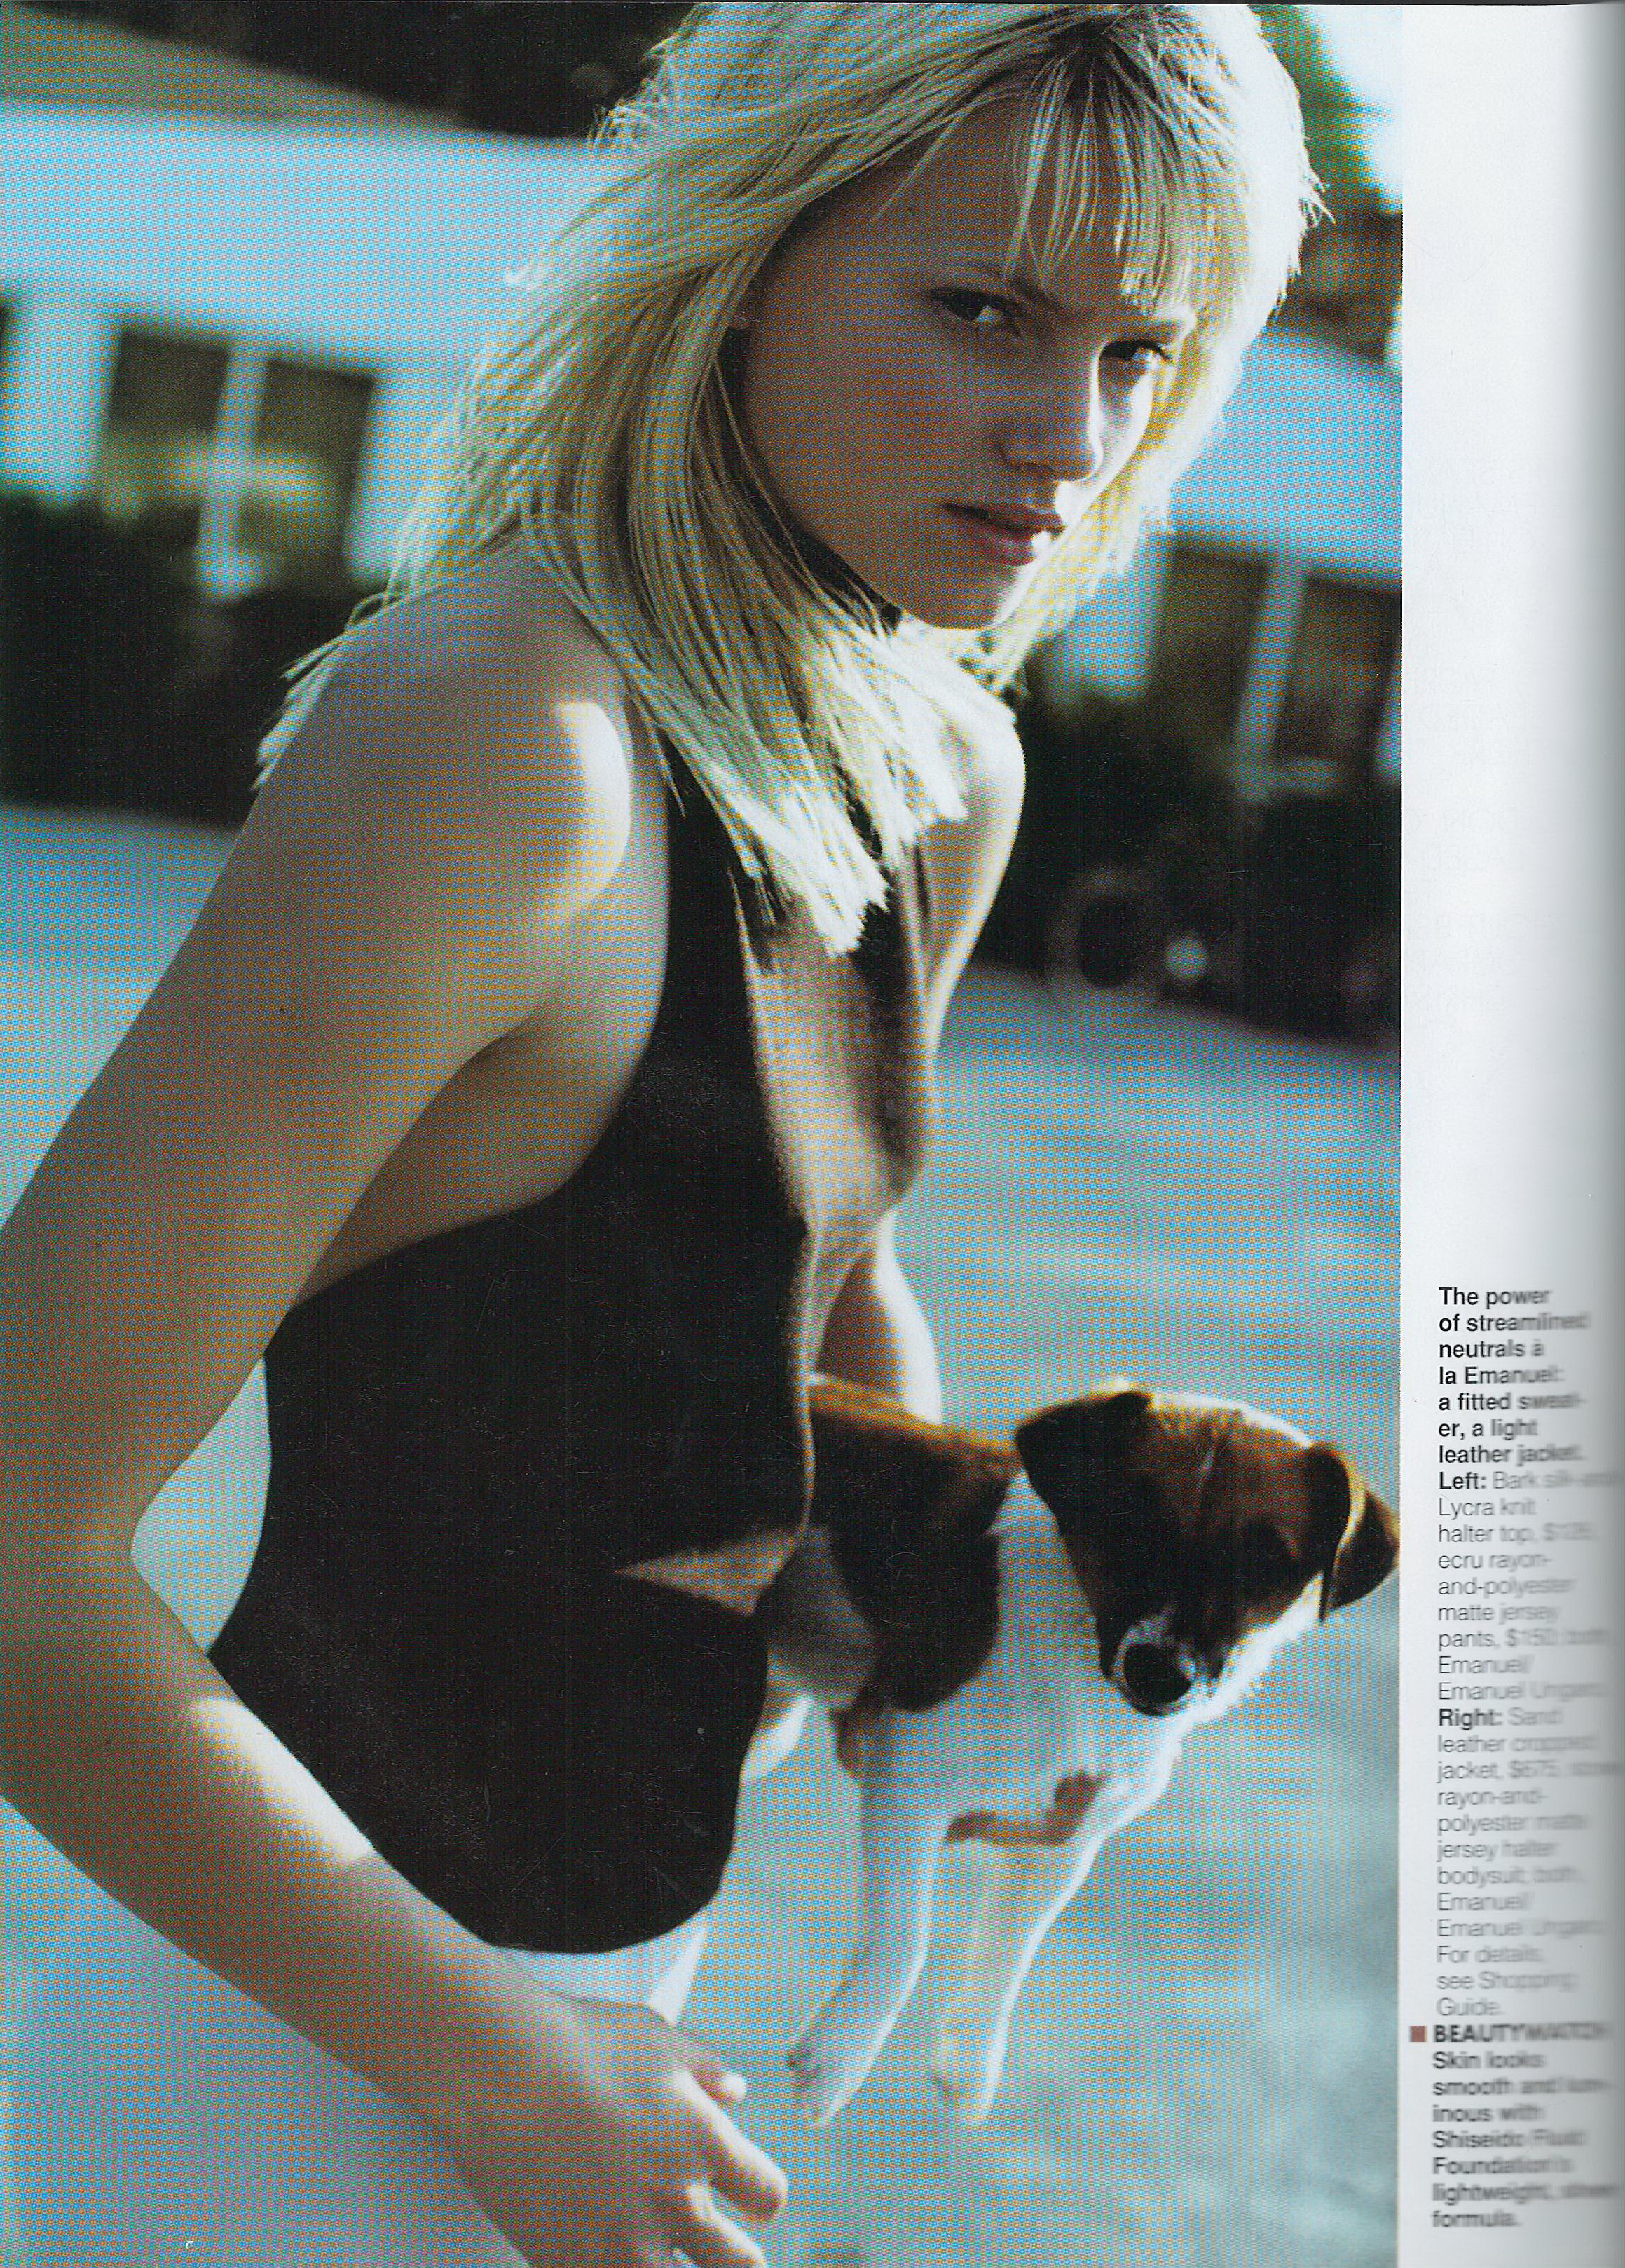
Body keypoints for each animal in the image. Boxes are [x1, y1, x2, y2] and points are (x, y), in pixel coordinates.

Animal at [733, 1373, 1401, 2127]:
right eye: (1129, 1524)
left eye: (1262, 1560)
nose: (1157, 1673)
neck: (1079, 1654)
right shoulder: (908, 1784)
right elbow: (906, 1940)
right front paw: (840, 2056)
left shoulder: (1063, 1841)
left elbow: (1011, 1950)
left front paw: (970, 2057)